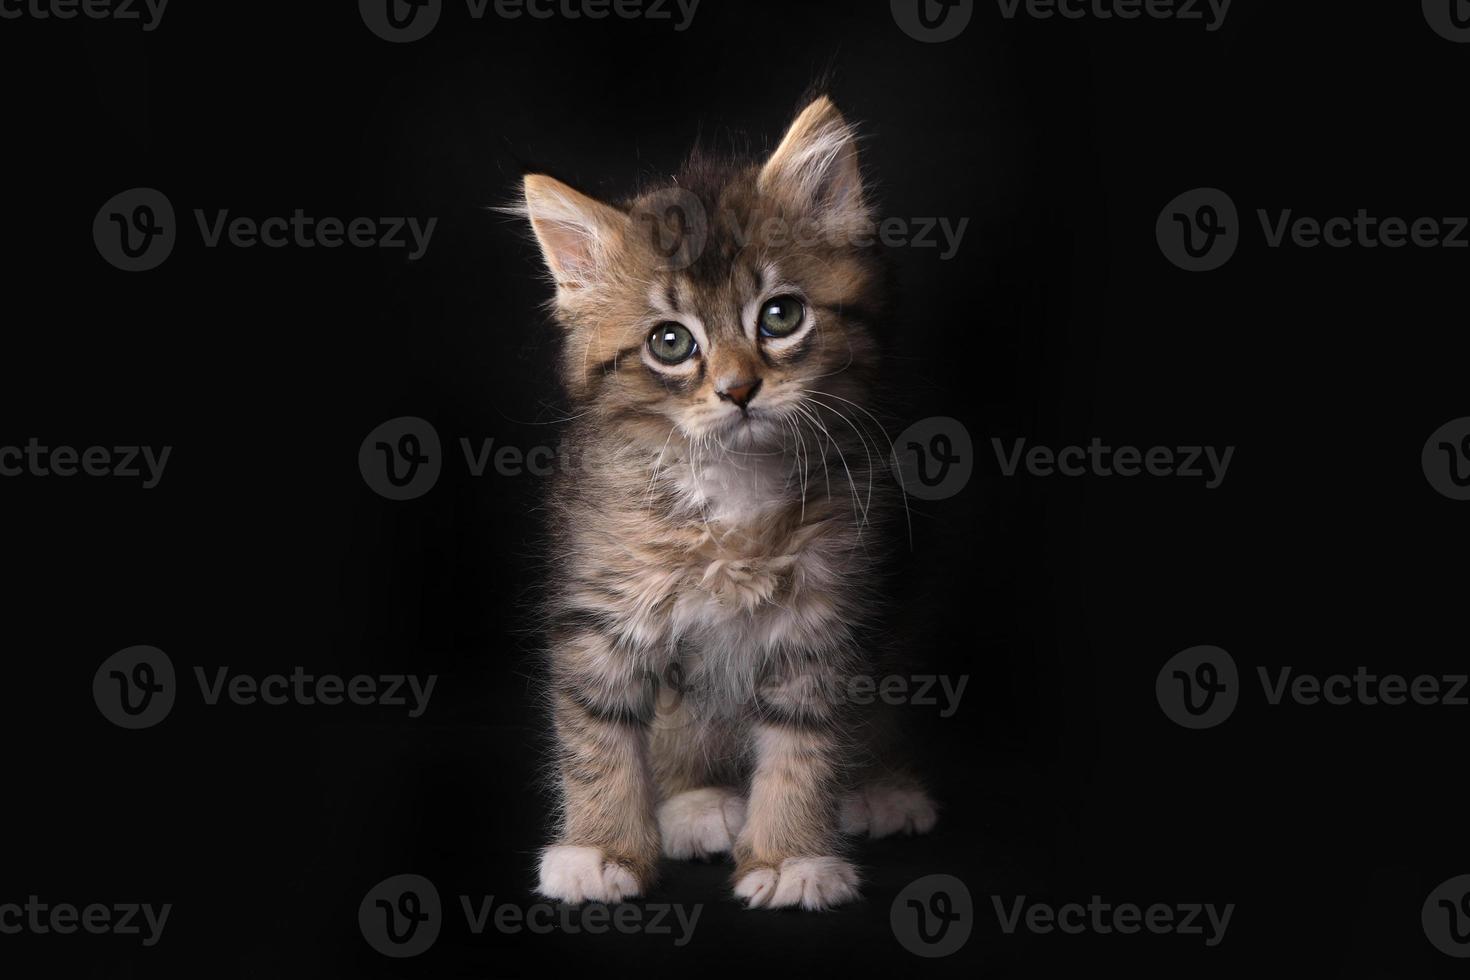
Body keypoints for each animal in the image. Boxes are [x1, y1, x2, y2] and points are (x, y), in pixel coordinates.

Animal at [520, 97, 929, 910]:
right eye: (670, 342)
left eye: (780, 316)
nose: (739, 390)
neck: (735, 484)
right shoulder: (603, 603)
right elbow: (596, 733)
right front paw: (599, 849)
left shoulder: (824, 615)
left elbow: (804, 749)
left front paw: (789, 857)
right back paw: (697, 802)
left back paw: (883, 789)